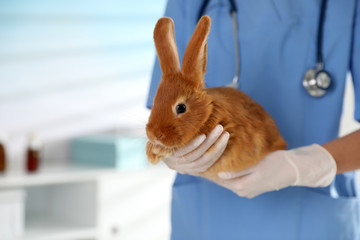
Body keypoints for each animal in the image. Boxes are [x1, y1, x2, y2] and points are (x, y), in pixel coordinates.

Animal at [145, 15, 286, 180]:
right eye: (155, 102)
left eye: (180, 107)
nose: (154, 135)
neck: (207, 113)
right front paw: (151, 151)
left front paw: (160, 150)